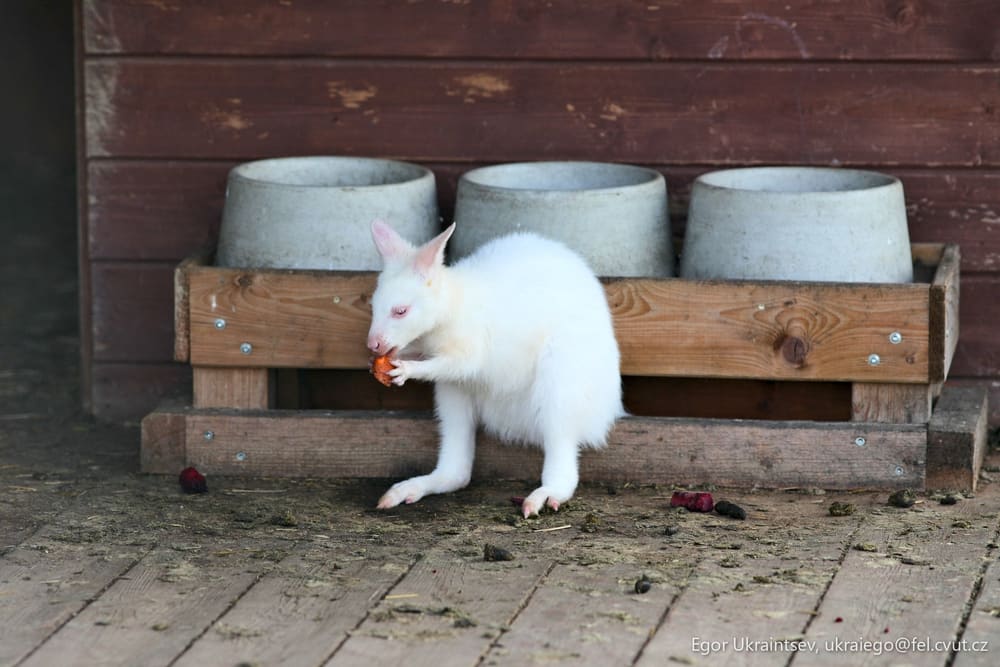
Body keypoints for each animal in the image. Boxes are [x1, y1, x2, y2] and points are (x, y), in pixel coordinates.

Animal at [366, 219, 624, 518]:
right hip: (453, 394)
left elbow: (464, 362)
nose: (372, 344)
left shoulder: (472, 346)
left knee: (562, 452)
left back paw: (543, 496)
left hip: (560, 379)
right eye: (373, 307)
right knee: (457, 470)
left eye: (401, 311)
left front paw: (405, 370)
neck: (450, 308)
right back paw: (410, 489)